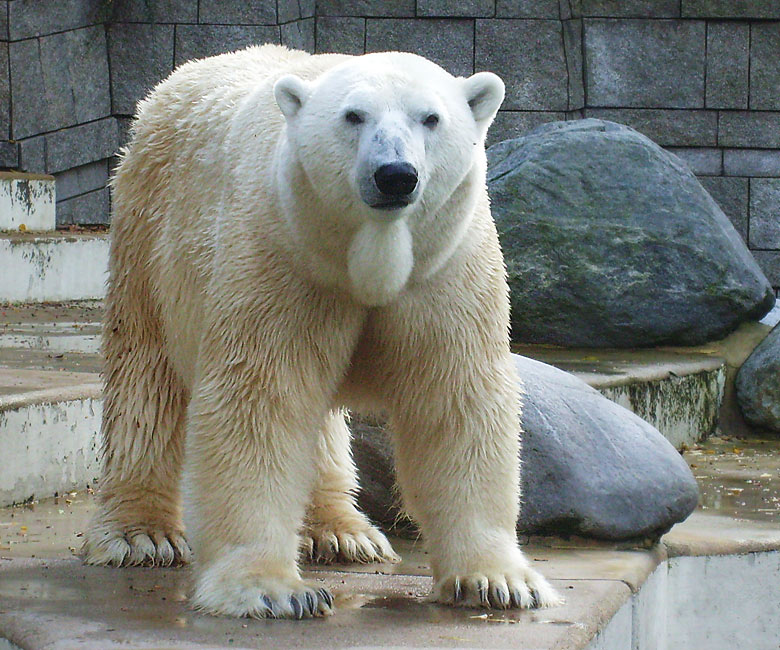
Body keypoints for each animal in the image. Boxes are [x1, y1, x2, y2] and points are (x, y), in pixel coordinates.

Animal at [82, 43, 560, 616]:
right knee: (146, 380)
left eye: (431, 118)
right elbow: (260, 400)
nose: (395, 174)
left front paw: (499, 582)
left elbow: (454, 399)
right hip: (149, 233)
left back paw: (342, 532)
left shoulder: (445, 269)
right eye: (353, 116)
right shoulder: (282, 258)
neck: (366, 257)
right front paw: (273, 591)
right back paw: (142, 535)